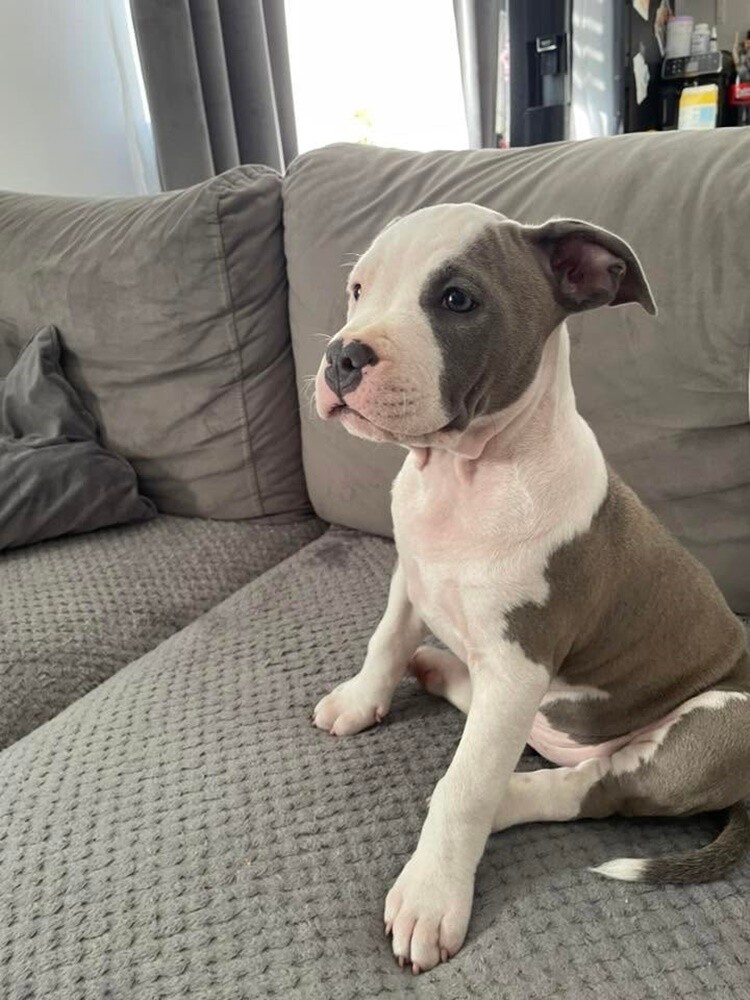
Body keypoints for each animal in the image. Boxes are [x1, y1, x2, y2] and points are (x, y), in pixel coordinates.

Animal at [312, 203, 750, 974]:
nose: (343, 354)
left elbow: (465, 786)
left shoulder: (521, 663)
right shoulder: (409, 575)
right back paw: (441, 670)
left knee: (591, 788)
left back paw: (506, 801)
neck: (465, 476)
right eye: (359, 289)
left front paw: (430, 897)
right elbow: (386, 640)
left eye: (458, 300)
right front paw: (363, 698)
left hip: (720, 723)